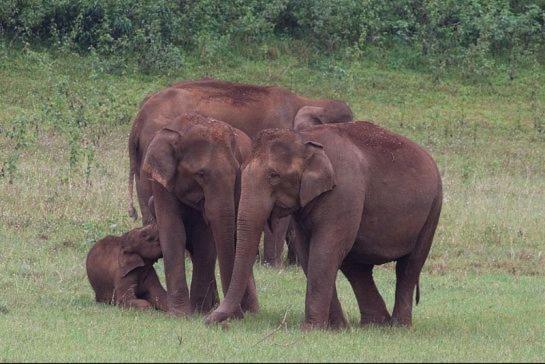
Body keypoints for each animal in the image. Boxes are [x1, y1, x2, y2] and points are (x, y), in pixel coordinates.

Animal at [140, 111, 260, 316]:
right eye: (200, 174)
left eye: (236, 173)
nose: (237, 316)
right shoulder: (161, 183)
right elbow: (173, 232)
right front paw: (181, 314)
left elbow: (204, 240)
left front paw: (198, 310)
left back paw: (250, 310)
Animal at [205, 121, 442, 330]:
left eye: (274, 175)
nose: (208, 321)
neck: (305, 138)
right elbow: (308, 253)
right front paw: (335, 328)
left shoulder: (343, 192)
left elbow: (324, 250)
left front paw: (310, 329)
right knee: (357, 267)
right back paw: (375, 324)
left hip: (433, 209)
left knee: (409, 266)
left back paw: (398, 326)